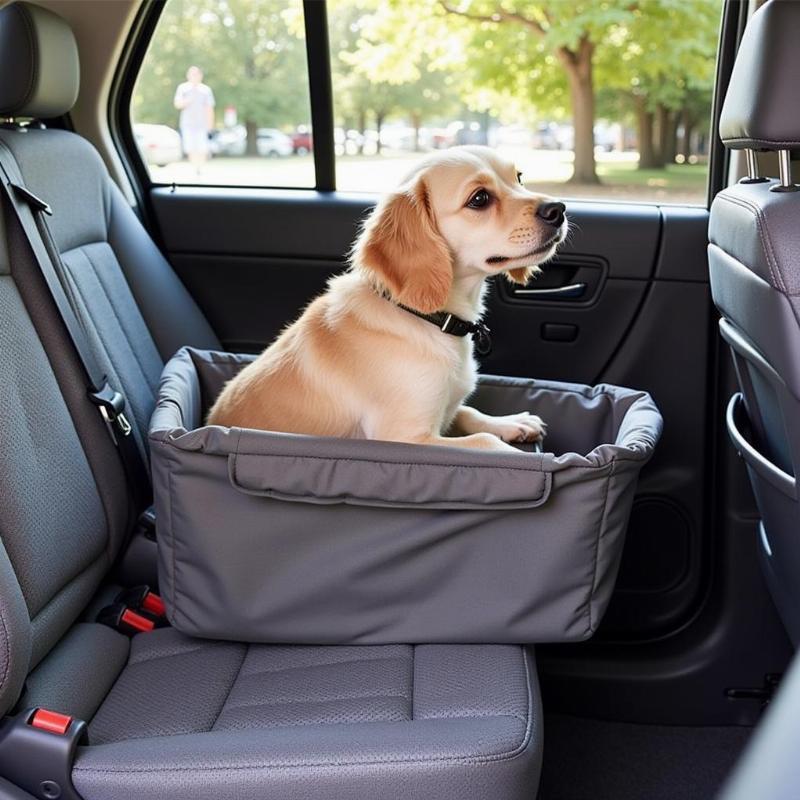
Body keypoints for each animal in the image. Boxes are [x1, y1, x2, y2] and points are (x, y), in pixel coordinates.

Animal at [209, 144, 564, 450]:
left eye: (519, 178)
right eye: (479, 199)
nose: (558, 209)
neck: (425, 317)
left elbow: (467, 412)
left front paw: (511, 422)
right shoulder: (406, 437)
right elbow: (485, 442)